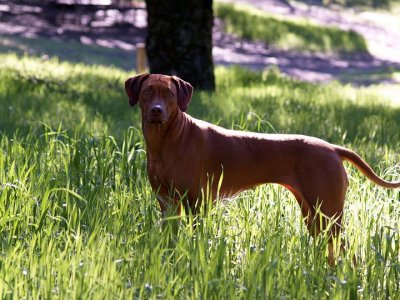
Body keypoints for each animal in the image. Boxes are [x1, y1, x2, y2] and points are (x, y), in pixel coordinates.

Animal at [124, 74, 396, 262]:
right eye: (148, 91)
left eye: (169, 94)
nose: (156, 111)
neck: (167, 141)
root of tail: (332, 148)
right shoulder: (167, 202)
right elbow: (170, 239)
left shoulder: (196, 204)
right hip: (313, 214)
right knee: (331, 249)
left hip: (329, 212)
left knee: (349, 251)